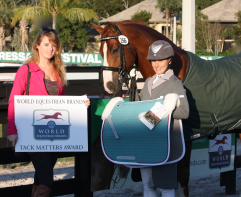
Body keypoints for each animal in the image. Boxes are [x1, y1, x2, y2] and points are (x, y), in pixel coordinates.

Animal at [92, 20, 241, 196]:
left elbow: (182, 178)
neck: (177, 72)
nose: (108, 86)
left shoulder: (185, 138)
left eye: (115, 49)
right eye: (100, 52)